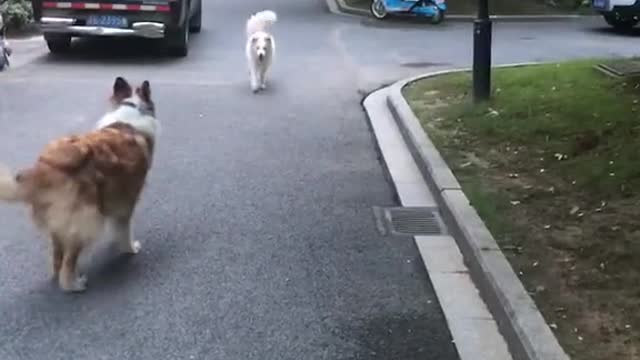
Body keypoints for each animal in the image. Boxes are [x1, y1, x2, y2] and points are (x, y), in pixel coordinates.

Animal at [0, 76, 160, 292]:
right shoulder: (127, 198)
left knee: (58, 257)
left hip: (58, 223)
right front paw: (130, 248)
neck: (131, 110)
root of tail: (44, 168)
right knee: (68, 265)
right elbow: (124, 229)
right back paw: (74, 284)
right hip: (86, 219)